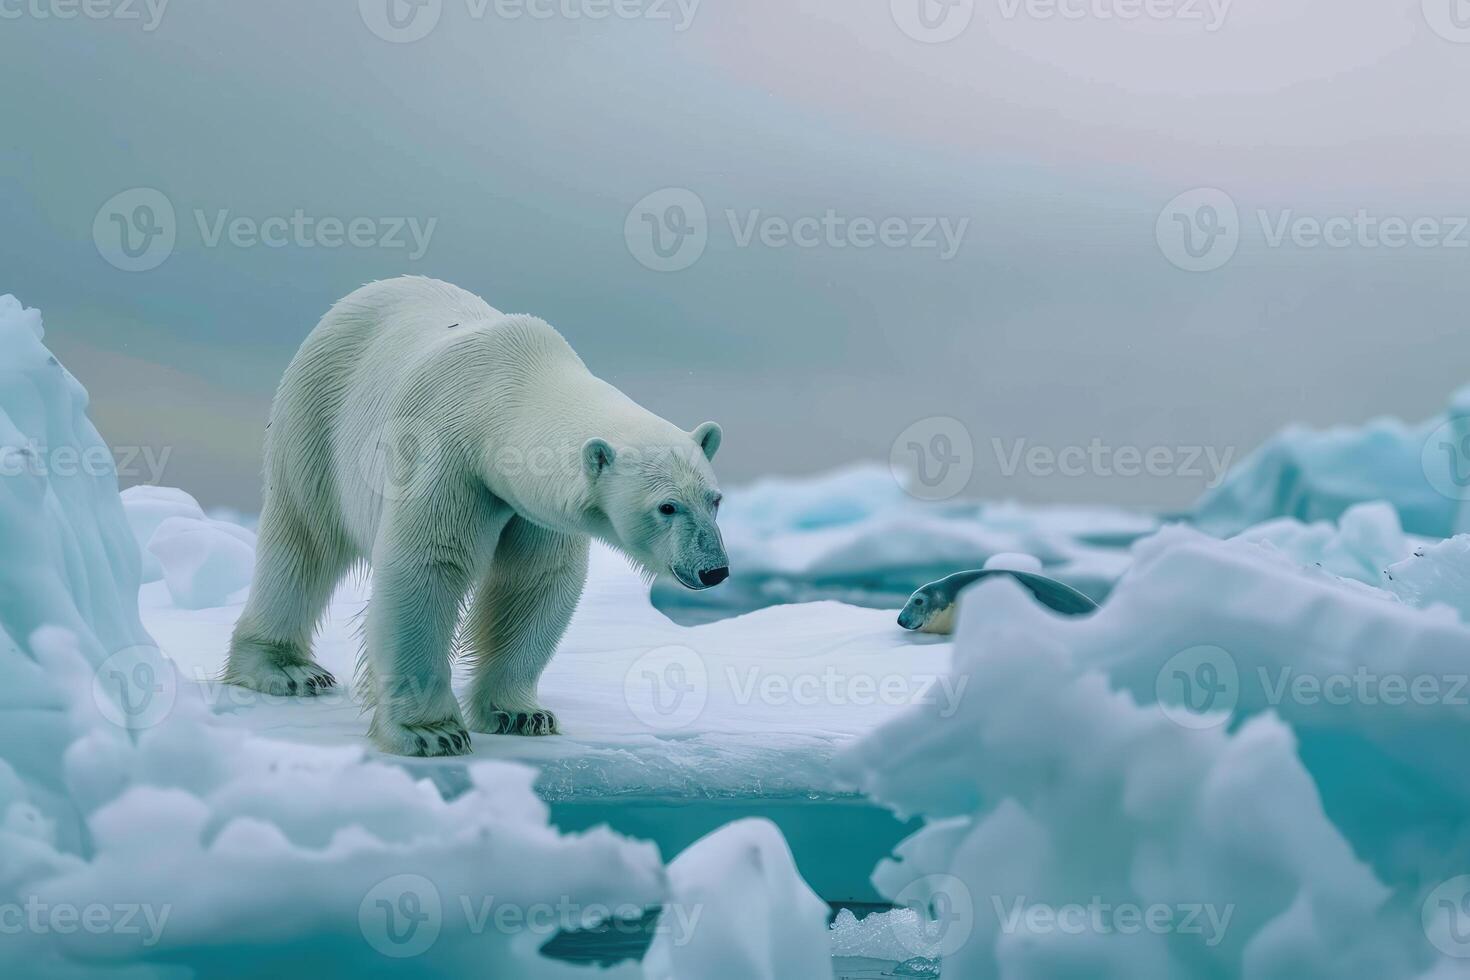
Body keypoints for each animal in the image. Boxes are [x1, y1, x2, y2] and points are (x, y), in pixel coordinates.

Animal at [223, 276, 729, 758]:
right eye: (667, 506)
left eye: (715, 499)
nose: (715, 570)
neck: (509, 390)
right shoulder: (448, 455)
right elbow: (428, 566)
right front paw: (431, 733)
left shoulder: (532, 507)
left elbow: (535, 580)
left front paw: (522, 714)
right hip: (318, 415)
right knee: (304, 537)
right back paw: (288, 669)